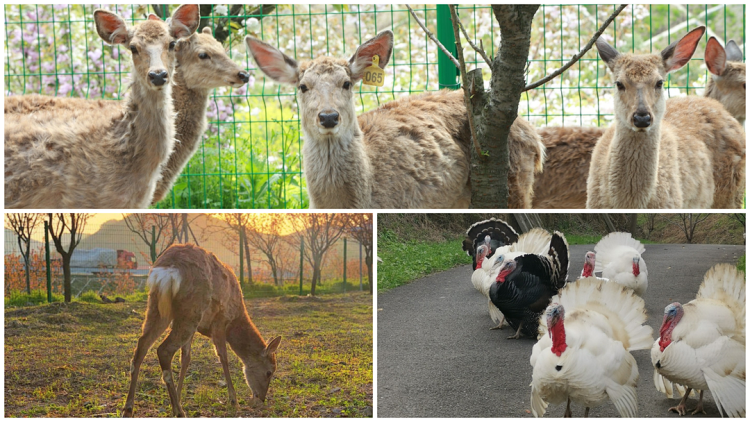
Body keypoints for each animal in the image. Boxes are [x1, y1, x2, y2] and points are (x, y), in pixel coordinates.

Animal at [123, 242, 282, 418]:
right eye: (269, 372)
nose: (261, 398)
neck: (236, 319)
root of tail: (167, 270)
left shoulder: (197, 329)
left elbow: (185, 359)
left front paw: (179, 395)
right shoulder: (220, 320)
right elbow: (223, 356)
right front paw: (233, 400)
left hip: (157, 306)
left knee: (142, 344)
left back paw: (129, 408)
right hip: (192, 309)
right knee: (163, 349)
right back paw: (178, 411)